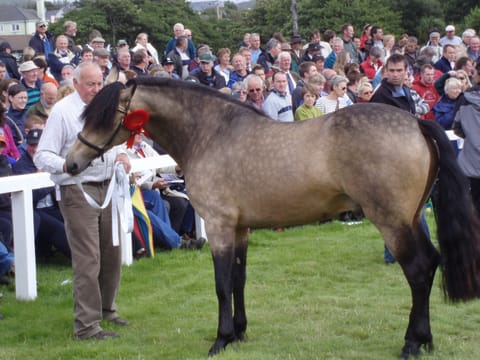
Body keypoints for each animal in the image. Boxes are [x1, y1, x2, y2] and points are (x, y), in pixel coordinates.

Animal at [63, 78, 480, 358]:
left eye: (104, 116)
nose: (71, 164)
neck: (211, 134)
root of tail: (415, 123)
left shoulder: (219, 227)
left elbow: (221, 285)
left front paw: (220, 338)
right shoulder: (240, 228)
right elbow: (239, 281)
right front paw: (239, 334)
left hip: (392, 222)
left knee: (420, 270)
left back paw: (412, 342)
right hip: (410, 218)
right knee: (431, 264)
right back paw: (425, 340)